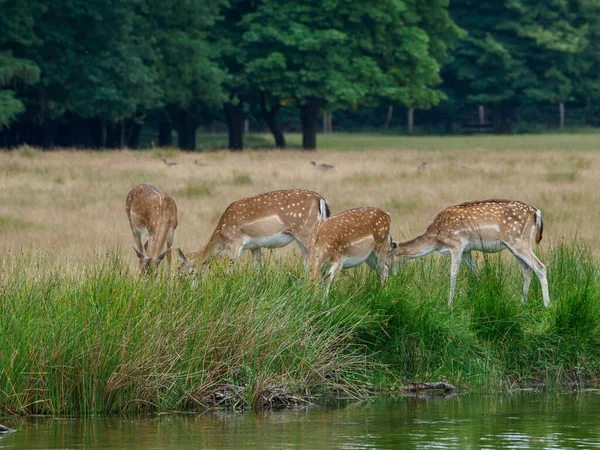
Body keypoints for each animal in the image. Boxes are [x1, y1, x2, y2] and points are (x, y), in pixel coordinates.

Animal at [176, 189, 330, 274]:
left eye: (183, 273)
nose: (185, 289)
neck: (222, 236)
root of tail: (321, 199)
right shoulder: (254, 246)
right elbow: (257, 268)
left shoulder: (236, 243)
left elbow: (228, 270)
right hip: (302, 238)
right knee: (308, 261)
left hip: (306, 232)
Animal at [392, 199, 552, 308]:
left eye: (387, 256)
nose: (390, 278)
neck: (436, 239)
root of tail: (536, 212)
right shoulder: (466, 250)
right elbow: (474, 271)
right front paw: (481, 295)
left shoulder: (457, 244)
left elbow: (453, 272)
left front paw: (449, 304)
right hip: (513, 246)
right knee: (527, 268)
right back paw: (523, 303)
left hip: (519, 242)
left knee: (541, 267)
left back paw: (547, 305)